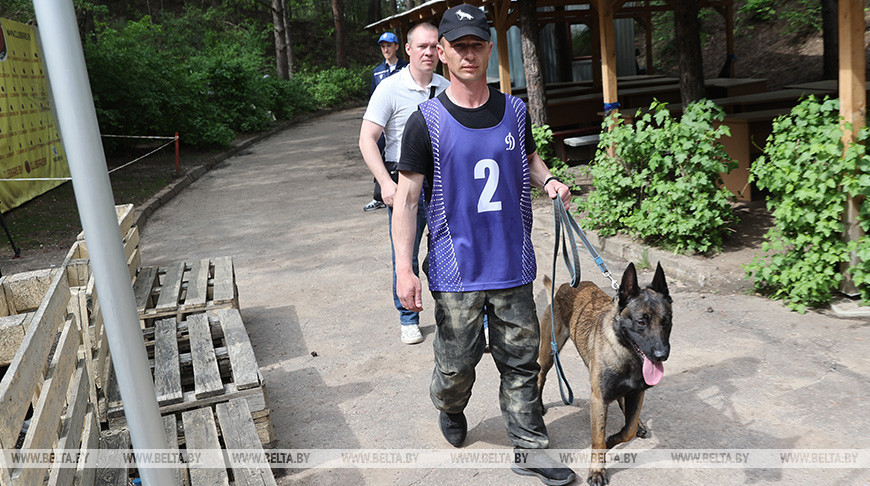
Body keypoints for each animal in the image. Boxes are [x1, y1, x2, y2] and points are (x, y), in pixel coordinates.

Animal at [540, 262, 676, 486]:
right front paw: (597, 470)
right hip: (549, 353)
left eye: (666, 321)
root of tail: (564, 286)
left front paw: (614, 438)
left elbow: (628, 430)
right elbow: (598, 441)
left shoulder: (637, 392)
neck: (626, 353)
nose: (661, 355)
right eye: (641, 322)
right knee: (539, 376)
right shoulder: (598, 399)